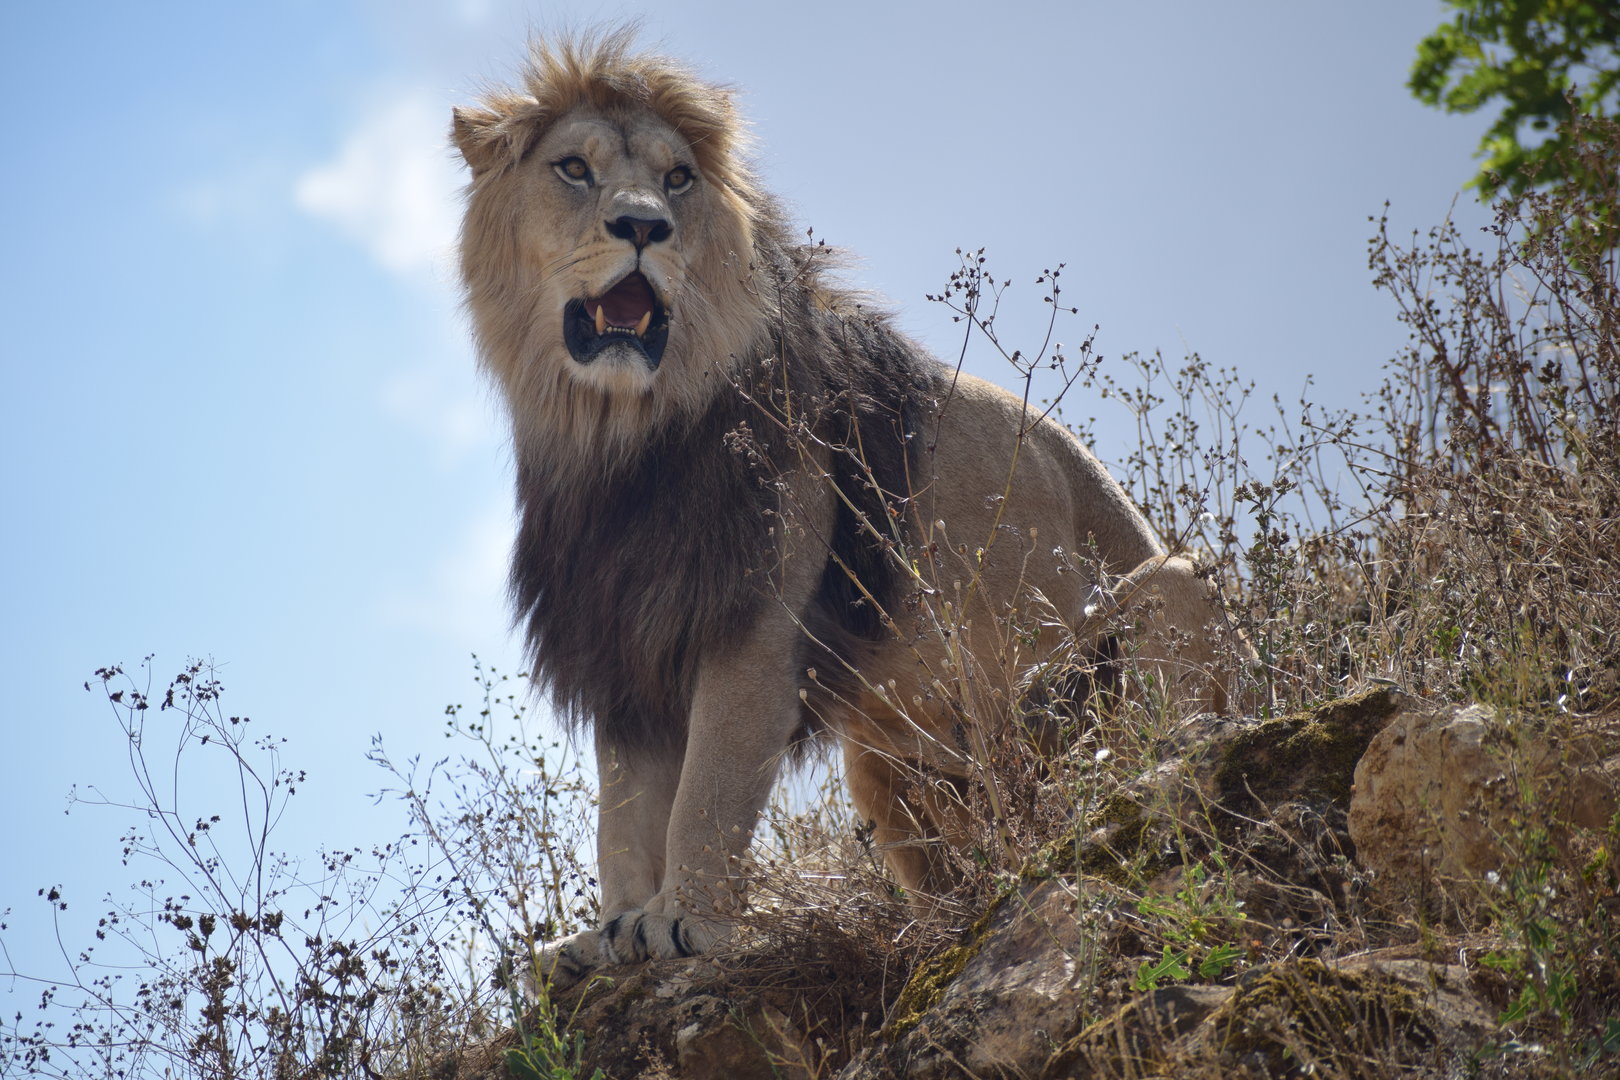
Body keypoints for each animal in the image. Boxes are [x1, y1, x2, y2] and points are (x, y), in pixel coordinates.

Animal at [453, 29, 1242, 988]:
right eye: (573, 168)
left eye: (678, 180)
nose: (644, 228)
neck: (617, 434)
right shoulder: (624, 636)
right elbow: (624, 815)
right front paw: (601, 938)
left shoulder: (753, 622)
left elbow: (706, 792)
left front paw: (683, 921)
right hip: (876, 759)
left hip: (1171, 587)